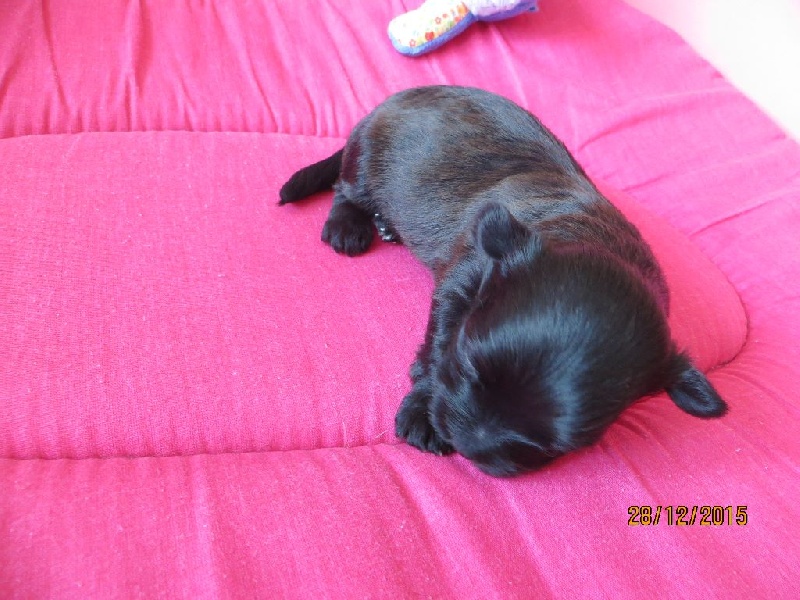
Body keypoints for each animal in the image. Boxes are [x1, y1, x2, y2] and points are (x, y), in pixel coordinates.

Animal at [279, 85, 727, 477]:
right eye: (467, 368)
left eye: (554, 445)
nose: (467, 445)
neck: (587, 235)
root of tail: (382, 106)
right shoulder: (461, 281)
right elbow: (438, 344)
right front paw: (422, 413)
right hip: (367, 161)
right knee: (344, 188)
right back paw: (349, 226)